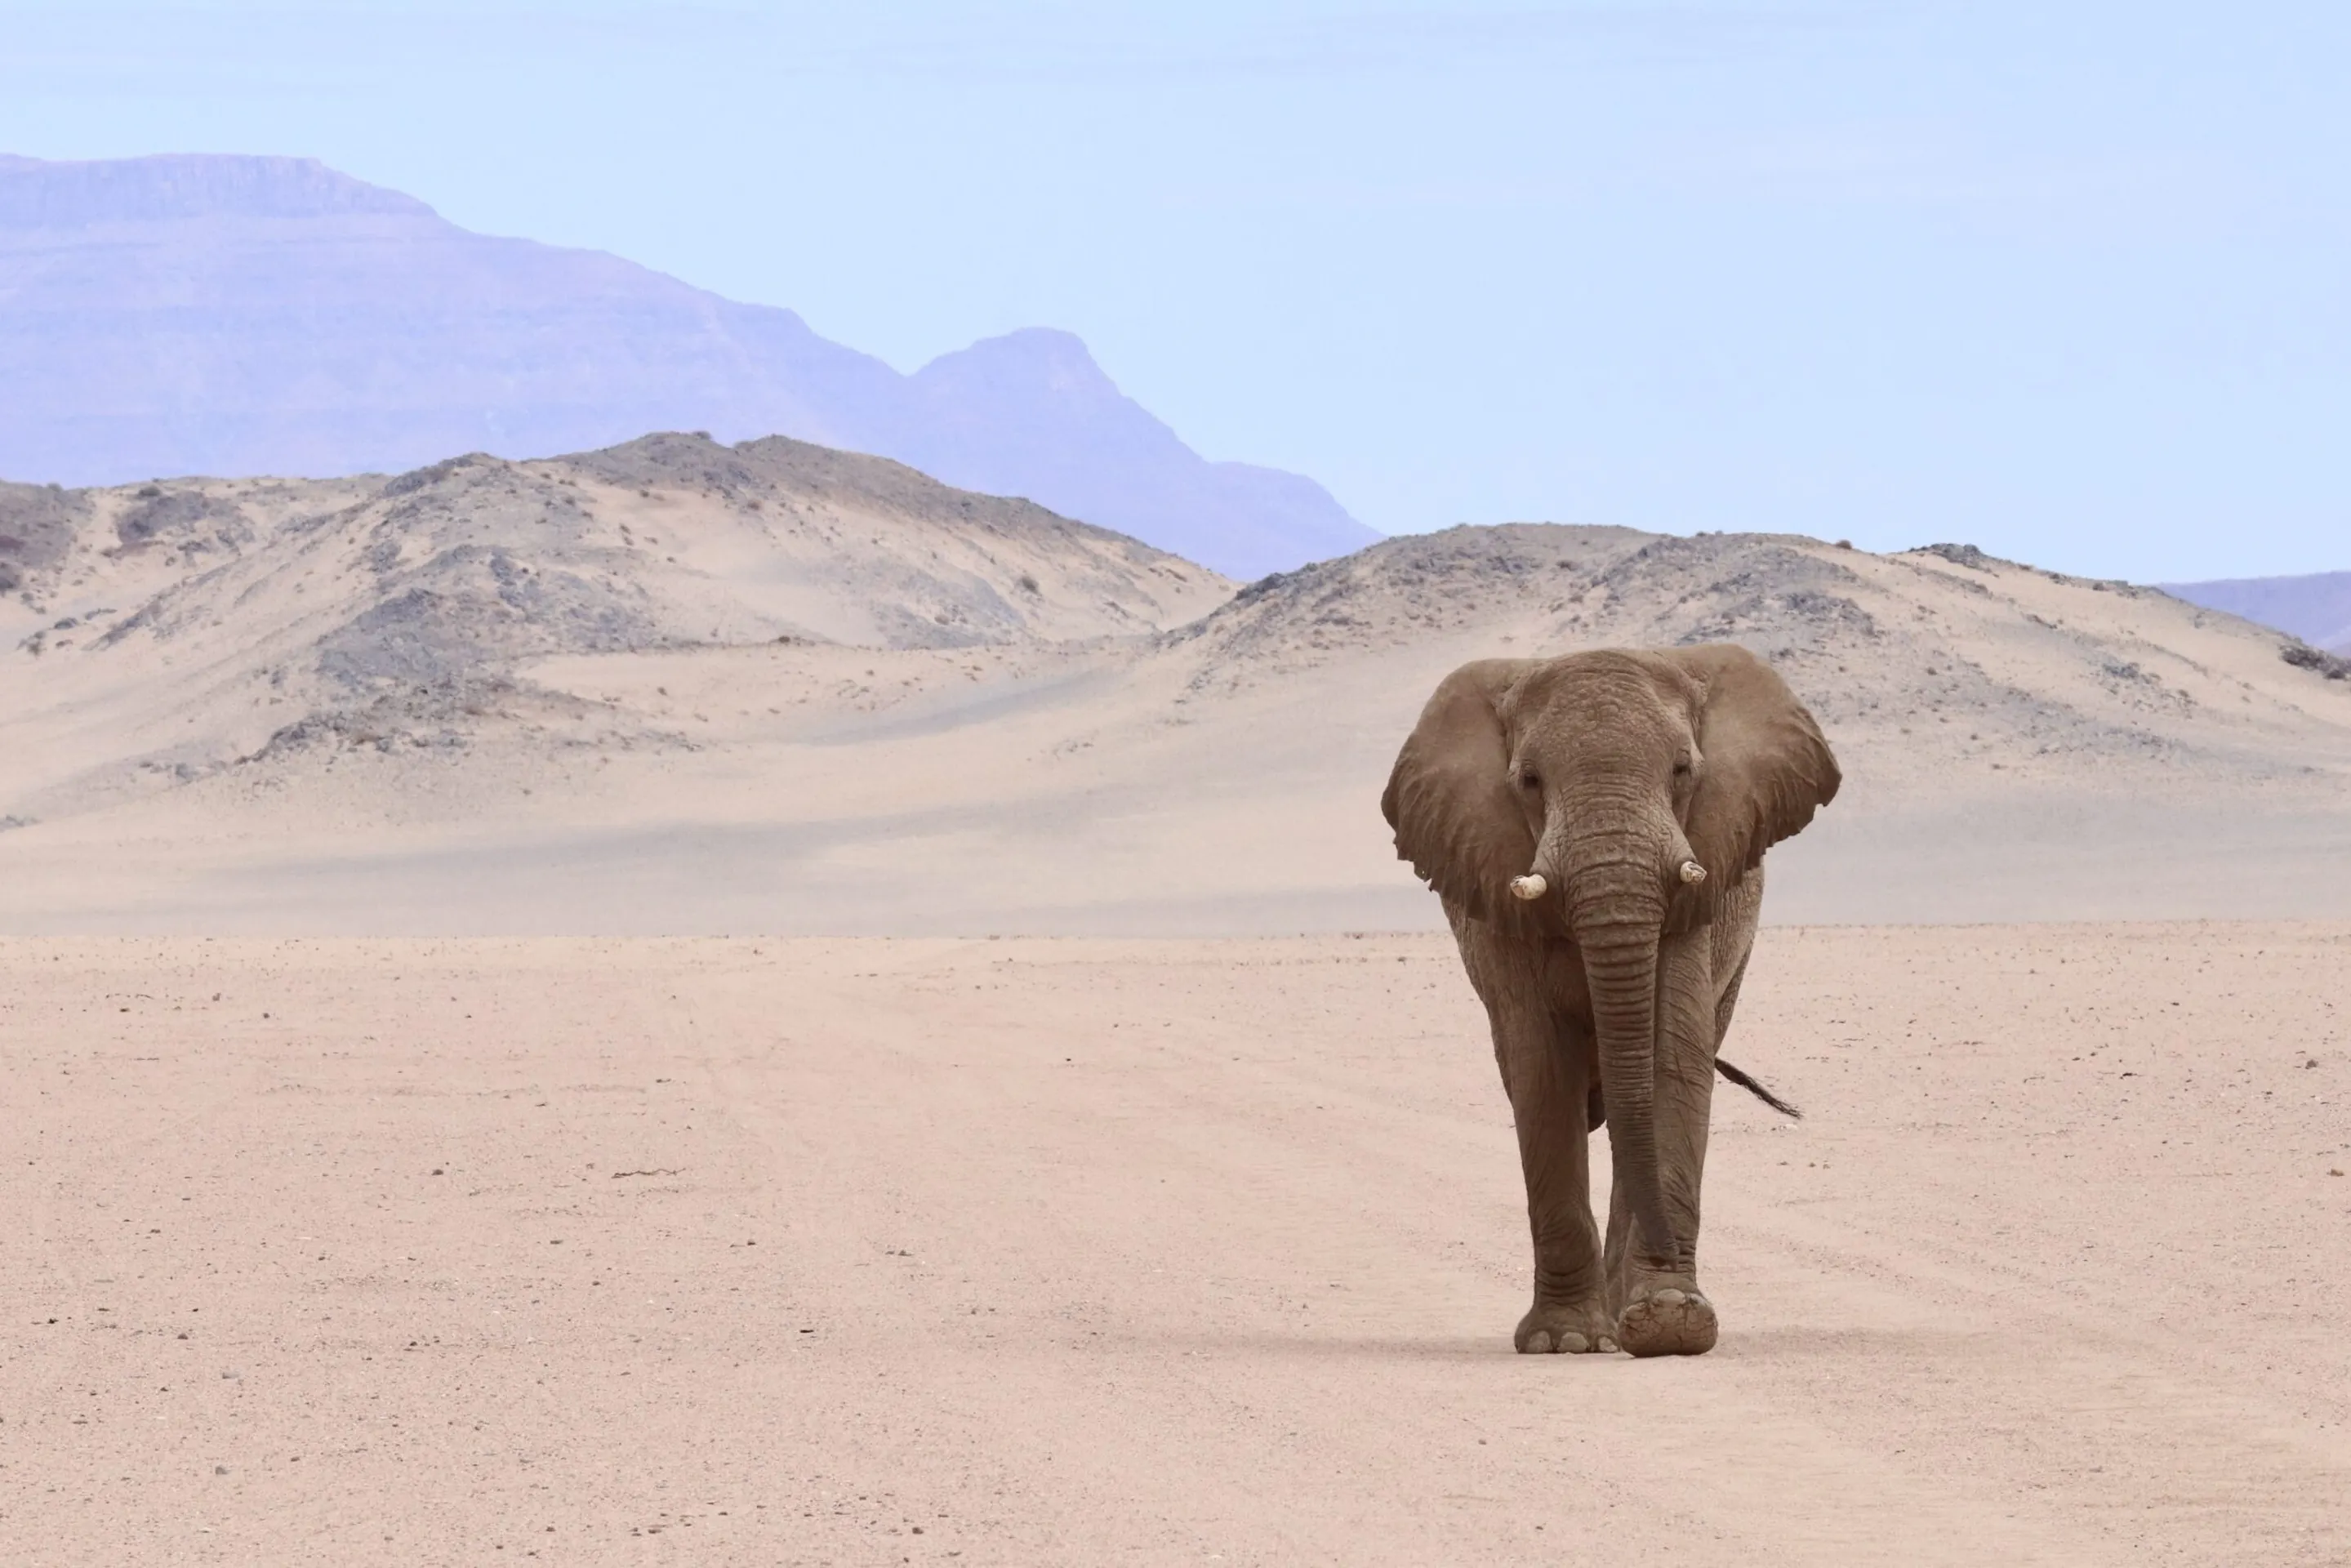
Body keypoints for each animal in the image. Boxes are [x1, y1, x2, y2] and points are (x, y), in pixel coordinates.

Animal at [1381, 645, 1839, 1357]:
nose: (1666, 1261)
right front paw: (1567, 1342)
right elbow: (1542, 1074)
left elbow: (1672, 1058)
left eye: (1682, 770)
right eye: (1529, 781)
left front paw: (1671, 1323)